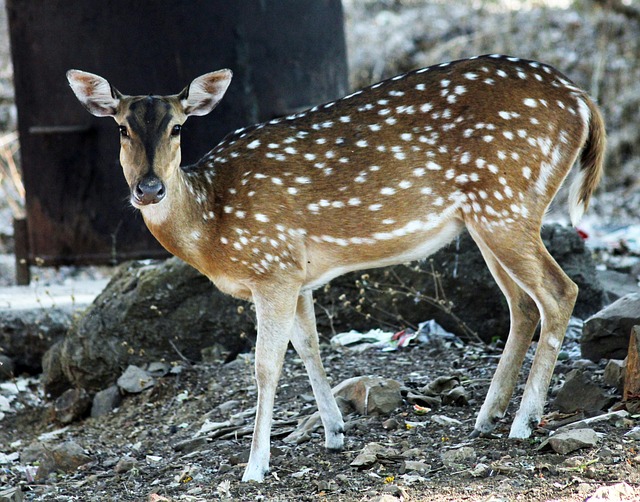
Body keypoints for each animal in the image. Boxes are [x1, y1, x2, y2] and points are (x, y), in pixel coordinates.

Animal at [67, 55, 608, 482]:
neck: (212, 228)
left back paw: (523, 422)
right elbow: (310, 347)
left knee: (559, 292)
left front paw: (255, 467)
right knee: (522, 304)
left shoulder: (272, 265)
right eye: (120, 127)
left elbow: (266, 367)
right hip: (487, 216)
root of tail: (583, 100)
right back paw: (487, 416)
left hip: (505, 201)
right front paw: (334, 432)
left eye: (178, 126)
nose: (149, 188)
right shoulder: (297, 274)